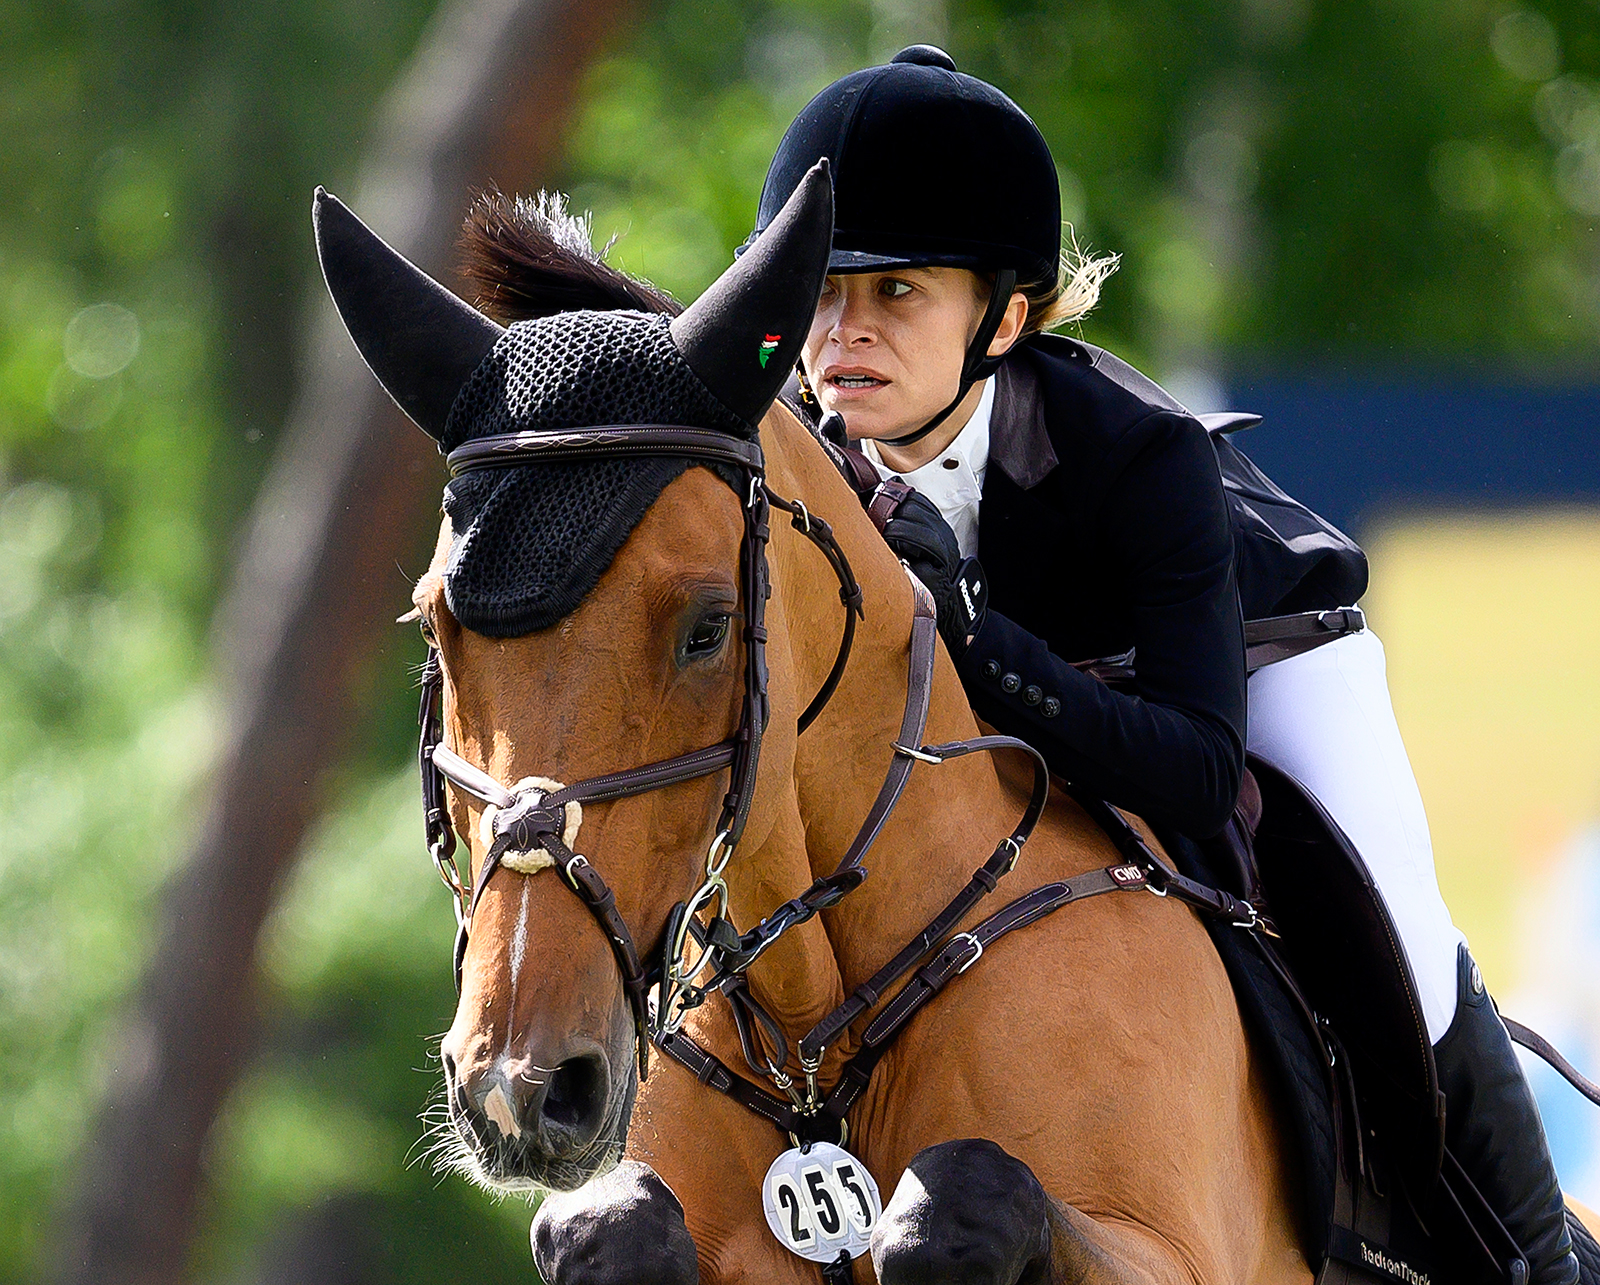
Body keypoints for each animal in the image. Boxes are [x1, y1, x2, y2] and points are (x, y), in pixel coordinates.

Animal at [316, 166, 1309, 1285]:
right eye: (433, 624)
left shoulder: (1170, 1246)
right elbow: (605, 1227)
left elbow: (956, 1198)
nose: (523, 1086)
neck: (810, 1032)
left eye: (708, 629)